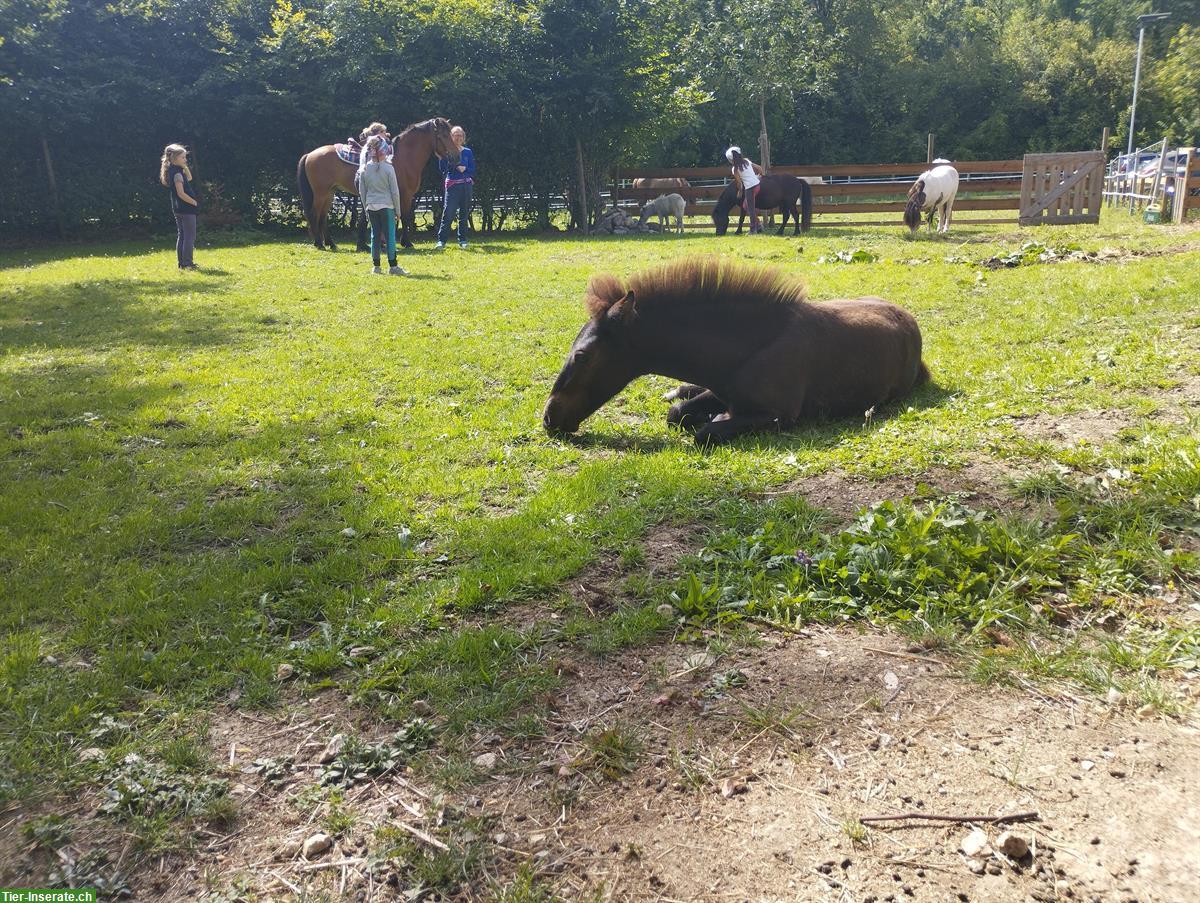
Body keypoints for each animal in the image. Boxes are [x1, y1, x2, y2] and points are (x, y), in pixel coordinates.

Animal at [297, 117, 460, 250]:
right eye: (444, 136)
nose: (457, 156)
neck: (403, 158)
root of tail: (310, 154)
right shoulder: (405, 195)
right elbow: (405, 217)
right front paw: (406, 242)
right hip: (321, 193)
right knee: (314, 214)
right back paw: (319, 243)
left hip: (329, 193)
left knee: (323, 217)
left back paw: (331, 243)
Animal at [544, 255, 926, 446]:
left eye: (582, 355)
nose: (549, 418)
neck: (748, 346)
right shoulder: (720, 390)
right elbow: (677, 413)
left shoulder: (780, 415)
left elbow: (705, 433)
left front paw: (714, 421)